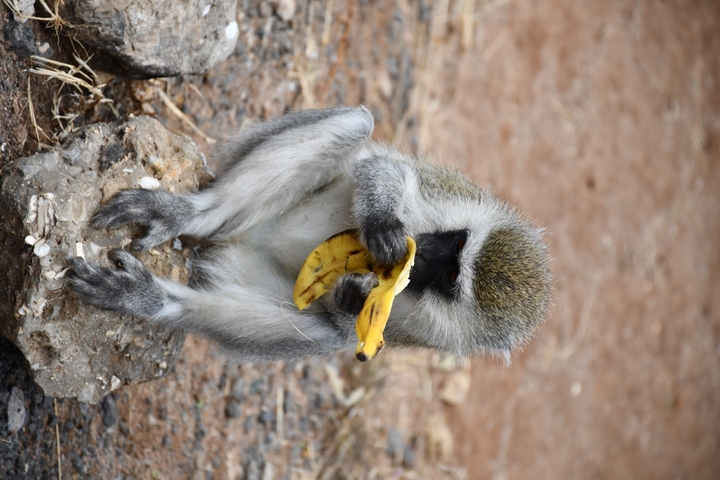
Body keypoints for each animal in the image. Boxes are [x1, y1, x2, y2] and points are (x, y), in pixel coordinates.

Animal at [68, 106, 551, 363]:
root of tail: (243, 239)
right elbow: (386, 169)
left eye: (451, 278)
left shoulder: (427, 334)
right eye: (457, 243)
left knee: (322, 333)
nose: (424, 252)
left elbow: (340, 326)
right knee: (355, 124)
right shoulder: (451, 195)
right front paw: (382, 225)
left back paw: (154, 300)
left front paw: (352, 296)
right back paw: (189, 215)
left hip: (241, 262)